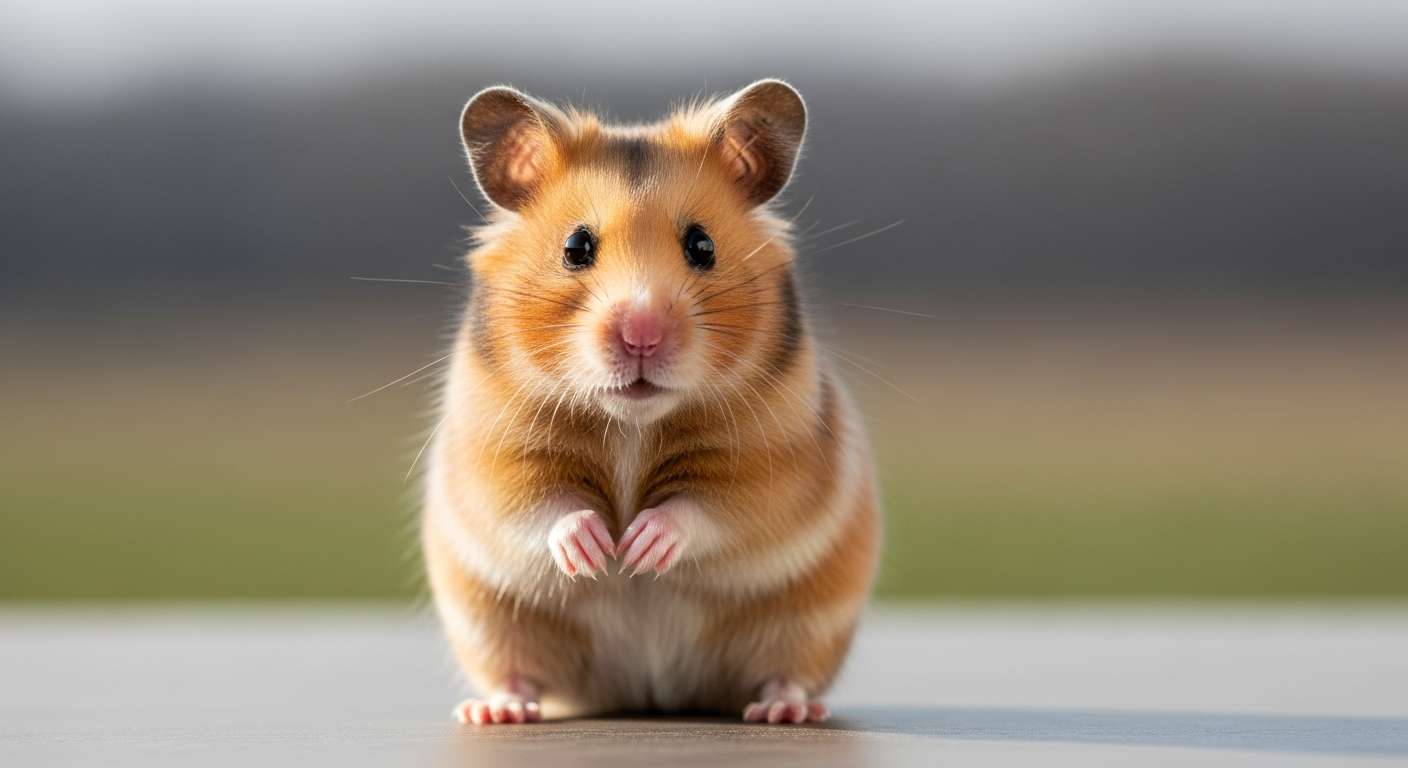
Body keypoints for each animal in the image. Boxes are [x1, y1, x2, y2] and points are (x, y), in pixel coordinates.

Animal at [421, 79, 881, 725]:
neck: (632, 422)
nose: (640, 334)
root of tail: (652, 691)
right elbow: (544, 506)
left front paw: (638, 550)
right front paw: (596, 553)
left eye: (702, 244)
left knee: (786, 673)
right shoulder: (499, 455)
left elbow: (703, 508)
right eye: (576, 246)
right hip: (489, 622)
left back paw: (783, 711)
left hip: (810, 620)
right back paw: (495, 712)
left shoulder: (766, 467)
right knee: (516, 673)